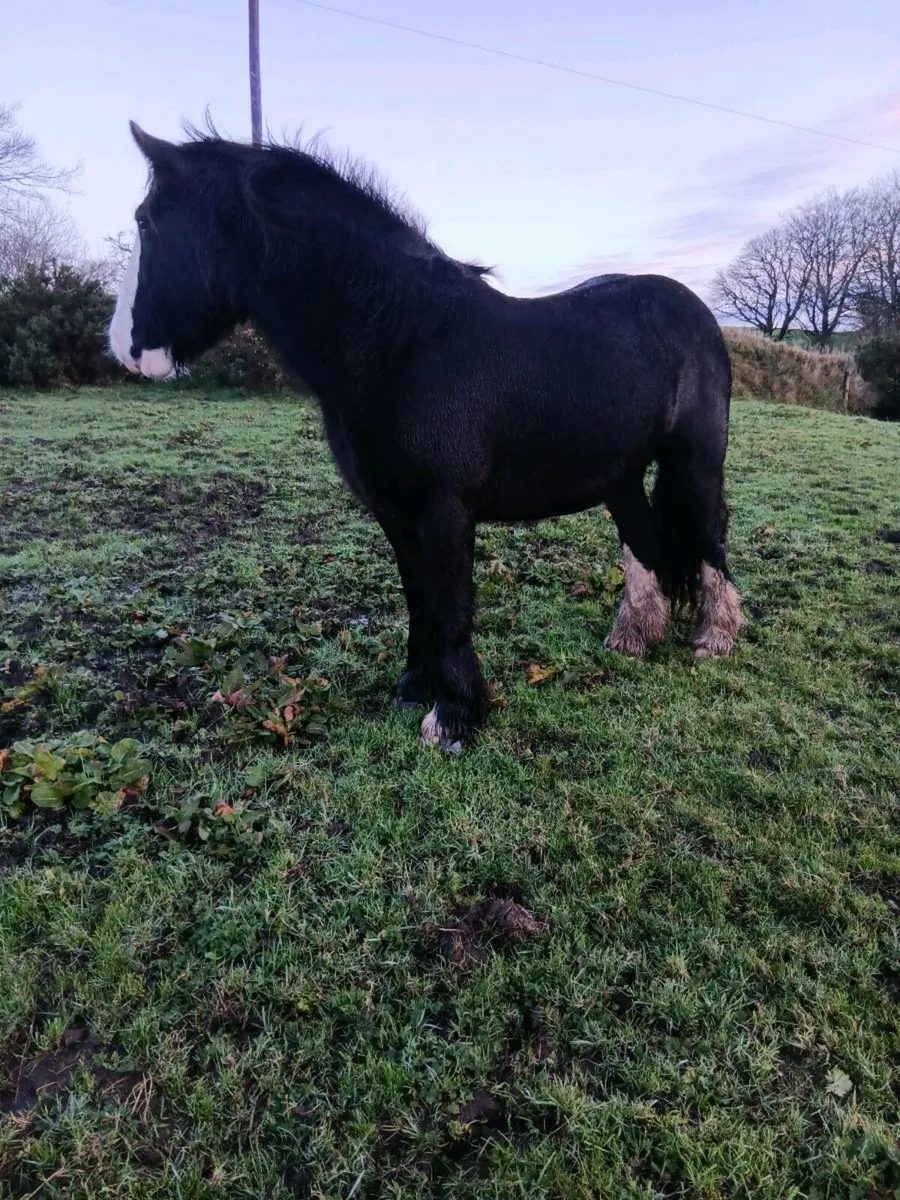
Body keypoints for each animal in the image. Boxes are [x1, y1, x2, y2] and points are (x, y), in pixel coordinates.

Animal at [109, 121, 742, 752]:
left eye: (146, 221)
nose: (124, 349)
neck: (402, 342)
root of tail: (693, 308)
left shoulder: (444, 509)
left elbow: (450, 604)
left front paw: (455, 715)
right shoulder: (394, 512)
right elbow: (419, 599)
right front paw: (415, 687)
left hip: (697, 460)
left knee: (710, 532)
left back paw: (715, 638)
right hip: (620, 473)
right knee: (644, 541)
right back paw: (633, 639)